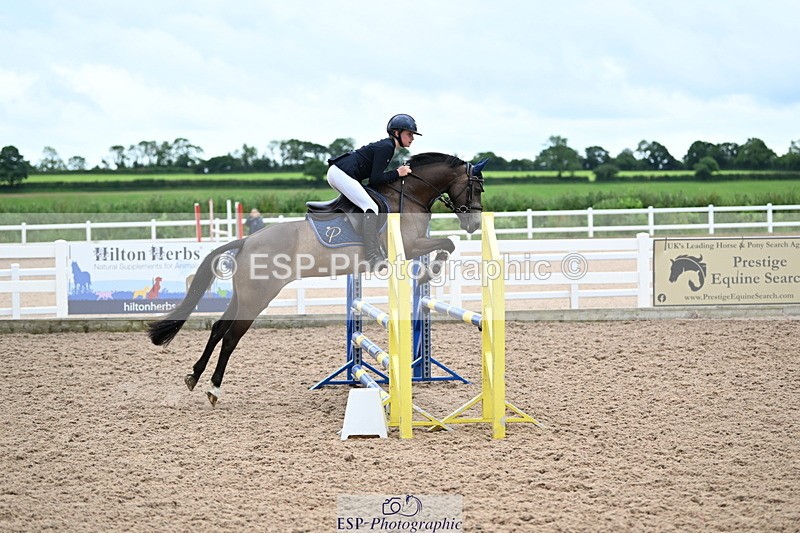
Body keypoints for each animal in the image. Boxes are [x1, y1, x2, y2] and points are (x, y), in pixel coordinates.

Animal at [148, 152, 487, 405]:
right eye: (477, 187)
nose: (473, 224)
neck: (410, 195)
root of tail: (246, 241)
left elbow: (447, 244)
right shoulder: (411, 245)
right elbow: (447, 244)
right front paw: (430, 271)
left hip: (243, 296)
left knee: (219, 328)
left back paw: (194, 377)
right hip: (258, 297)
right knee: (231, 336)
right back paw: (213, 388)